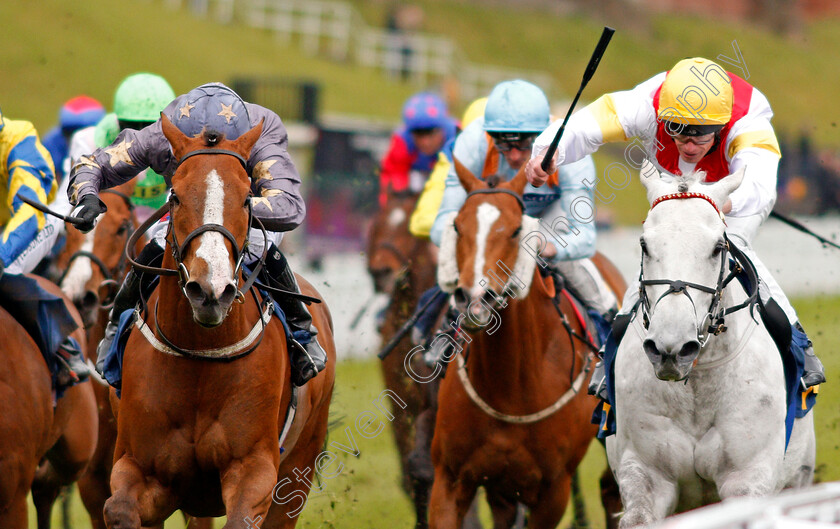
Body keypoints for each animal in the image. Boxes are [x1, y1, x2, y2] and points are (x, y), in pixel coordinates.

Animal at [105, 116, 338, 528]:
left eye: (246, 198)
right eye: (175, 196)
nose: (210, 291)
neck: (200, 352)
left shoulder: (255, 468)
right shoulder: (140, 468)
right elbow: (118, 508)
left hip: (300, 468)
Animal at [430, 161, 628, 528]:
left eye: (514, 231)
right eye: (458, 226)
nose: (476, 299)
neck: (509, 388)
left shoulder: (553, 491)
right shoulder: (450, 480)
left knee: (613, 491)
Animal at [612, 160, 812, 524]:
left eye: (718, 246)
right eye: (645, 244)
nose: (672, 349)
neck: (697, 383)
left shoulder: (746, 479)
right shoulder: (645, 474)